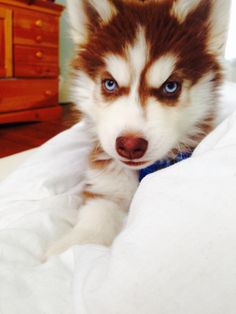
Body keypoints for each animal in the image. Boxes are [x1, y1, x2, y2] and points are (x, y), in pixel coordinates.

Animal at [47, 0, 231, 256]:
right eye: (110, 84)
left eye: (170, 86)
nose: (130, 145)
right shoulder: (105, 185)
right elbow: (96, 215)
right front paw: (72, 245)